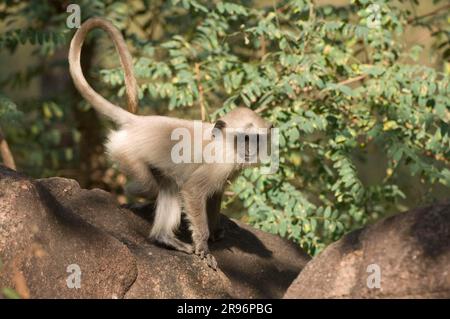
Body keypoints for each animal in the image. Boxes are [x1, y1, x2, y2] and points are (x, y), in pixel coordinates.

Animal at [68, 17, 272, 272]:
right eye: (243, 138)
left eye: (256, 139)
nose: (250, 150)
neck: (222, 141)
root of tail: (139, 121)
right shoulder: (220, 163)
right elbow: (193, 190)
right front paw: (204, 245)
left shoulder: (229, 169)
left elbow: (215, 194)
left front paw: (216, 232)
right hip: (126, 153)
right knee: (157, 186)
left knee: (166, 185)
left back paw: (162, 236)